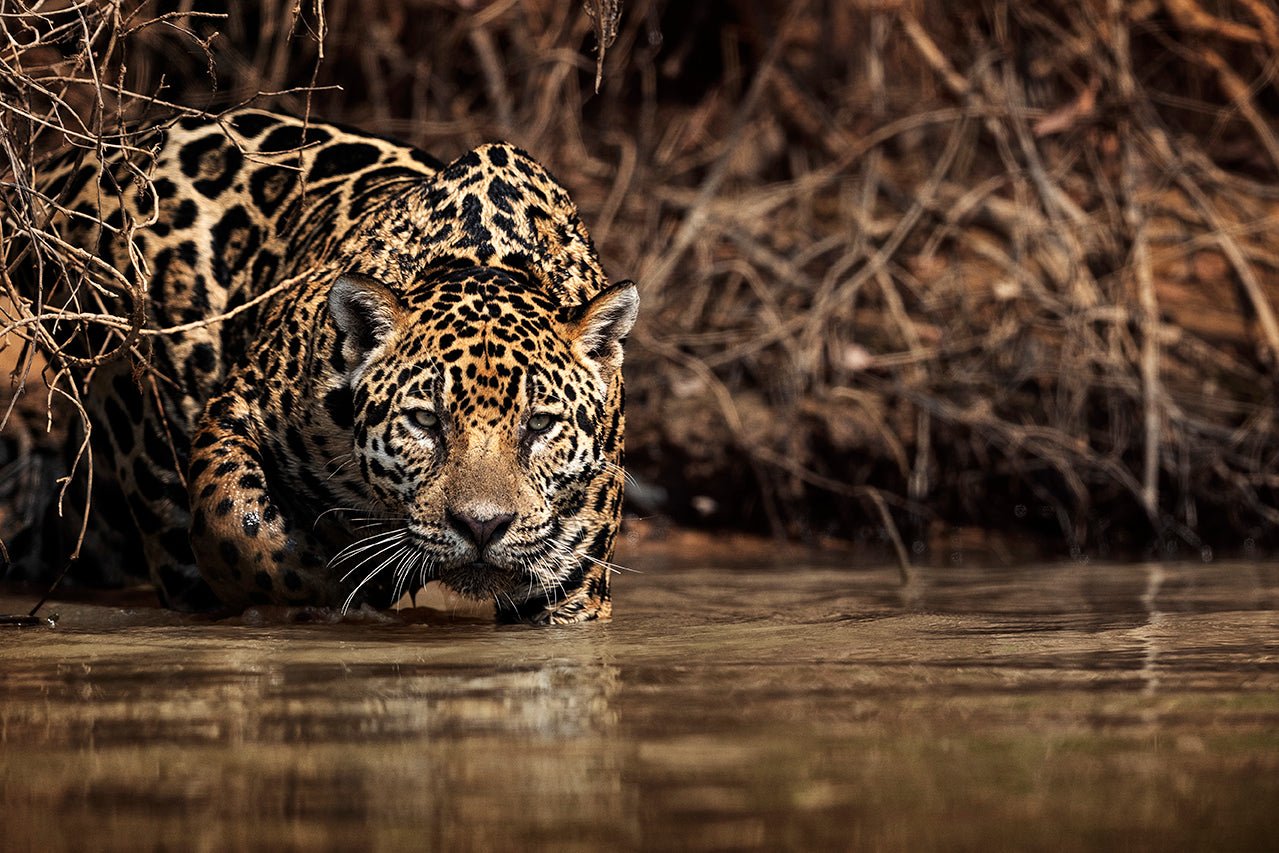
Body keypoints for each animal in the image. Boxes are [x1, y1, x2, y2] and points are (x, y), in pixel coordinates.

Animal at [11, 109, 637, 624]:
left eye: (540, 424)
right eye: (425, 421)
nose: (481, 526)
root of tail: (85, 153)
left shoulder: (571, 588)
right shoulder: (238, 408)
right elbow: (232, 517)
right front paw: (327, 589)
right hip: (142, 410)